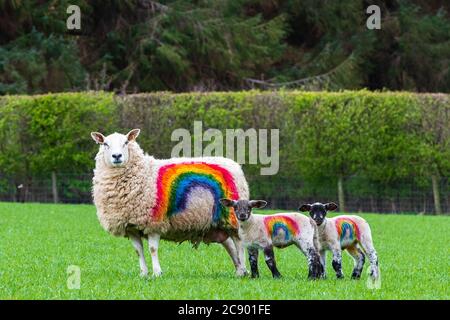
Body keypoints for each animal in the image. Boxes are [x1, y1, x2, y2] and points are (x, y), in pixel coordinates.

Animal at [89, 129, 248, 276]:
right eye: (105, 144)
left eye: (126, 142)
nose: (117, 156)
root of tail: (234, 164)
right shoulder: (131, 226)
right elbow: (138, 250)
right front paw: (143, 273)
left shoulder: (154, 222)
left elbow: (152, 249)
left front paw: (157, 273)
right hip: (217, 221)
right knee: (229, 244)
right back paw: (240, 270)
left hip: (232, 217)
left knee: (238, 243)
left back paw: (243, 269)